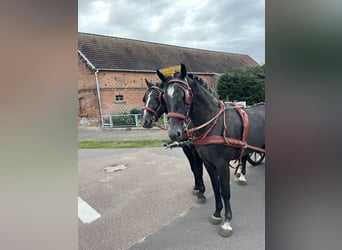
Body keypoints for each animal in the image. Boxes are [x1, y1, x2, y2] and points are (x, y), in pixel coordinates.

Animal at [156, 63, 266, 237]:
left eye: (184, 96)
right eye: (165, 97)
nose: (174, 133)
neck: (213, 122)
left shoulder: (222, 164)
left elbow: (225, 191)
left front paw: (227, 222)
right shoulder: (208, 163)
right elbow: (215, 187)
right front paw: (216, 214)